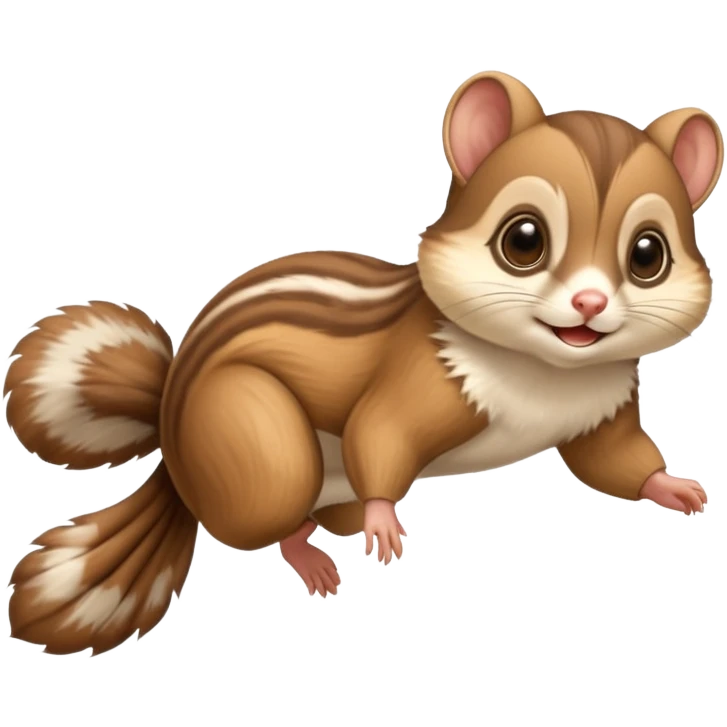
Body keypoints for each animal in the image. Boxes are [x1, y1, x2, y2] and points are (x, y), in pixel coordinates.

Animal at [3, 70, 722, 657]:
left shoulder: (604, 410)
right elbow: (380, 433)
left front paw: (674, 488)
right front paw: (385, 522)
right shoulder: (416, 382)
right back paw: (310, 554)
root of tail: (173, 438)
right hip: (256, 444)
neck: (547, 374)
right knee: (269, 517)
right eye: (524, 239)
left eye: (648, 254)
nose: (589, 303)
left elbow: (613, 459)